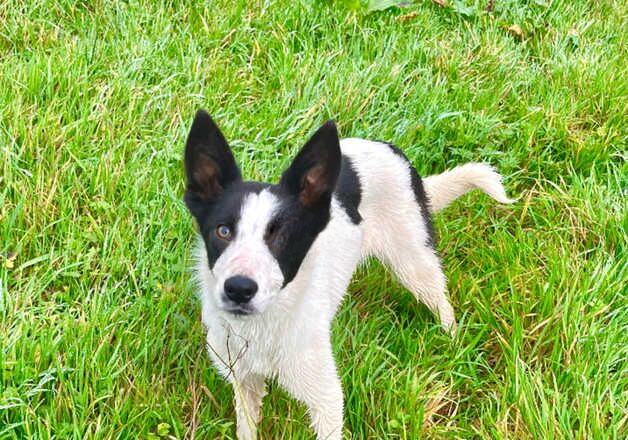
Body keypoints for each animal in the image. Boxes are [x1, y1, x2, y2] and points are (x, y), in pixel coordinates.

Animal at [183, 108, 516, 438]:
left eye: (283, 236)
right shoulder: (244, 381)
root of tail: (392, 150)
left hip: (414, 261)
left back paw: (453, 342)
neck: (262, 327)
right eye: (223, 231)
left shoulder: (327, 398)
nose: (239, 288)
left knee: (441, 302)